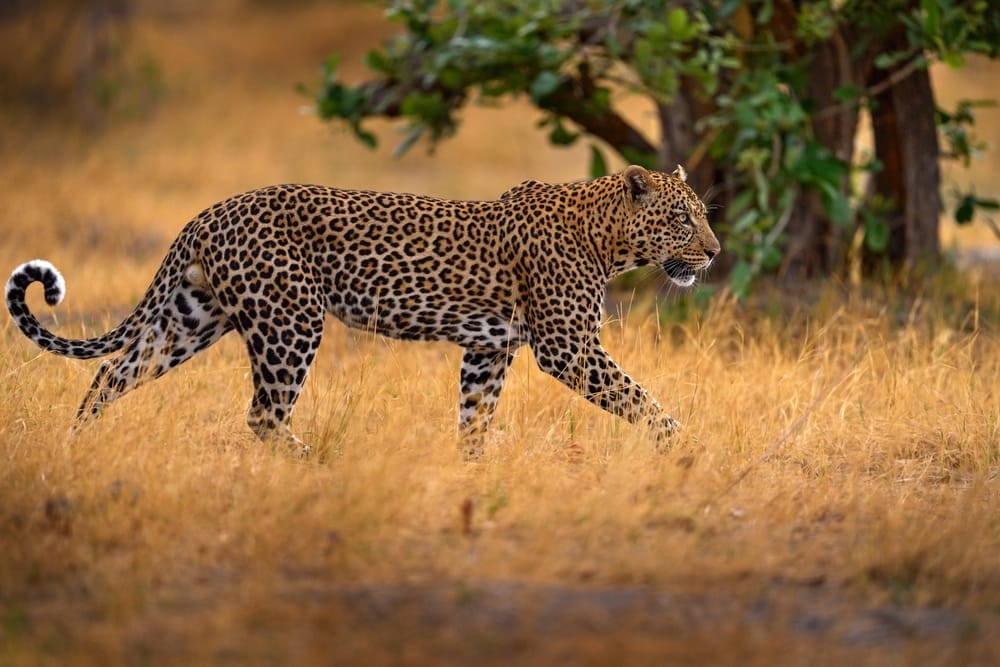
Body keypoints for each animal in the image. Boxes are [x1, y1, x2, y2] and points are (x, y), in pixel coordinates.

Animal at [6, 165, 720, 459]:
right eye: (683, 219)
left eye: (702, 216)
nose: (714, 252)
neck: (607, 238)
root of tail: (208, 212)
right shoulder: (567, 347)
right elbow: (642, 400)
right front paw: (683, 449)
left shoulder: (488, 348)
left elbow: (474, 419)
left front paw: (472, 472)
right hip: (290, 320)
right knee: (263, 414)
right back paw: (322, 458)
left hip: (192, 317)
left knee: (111, 374)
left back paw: (77, 446)